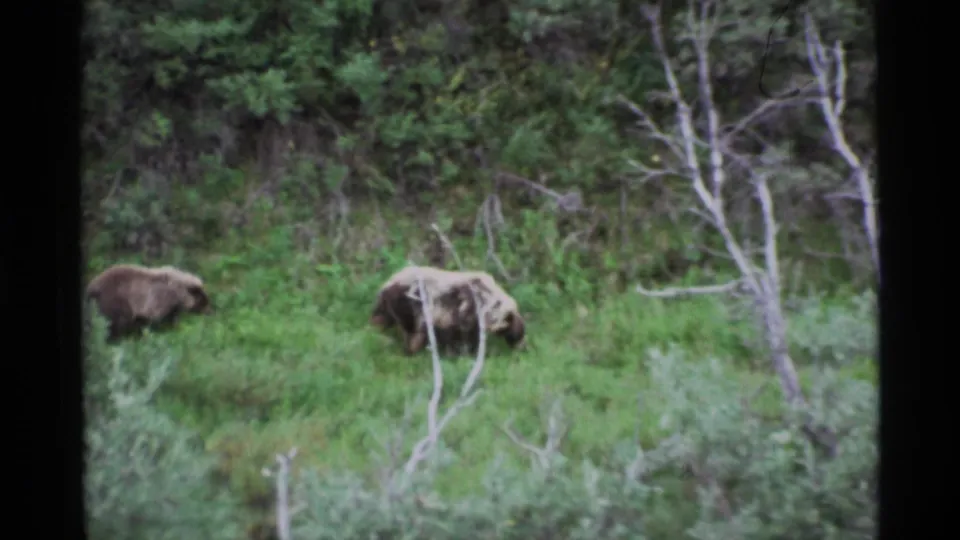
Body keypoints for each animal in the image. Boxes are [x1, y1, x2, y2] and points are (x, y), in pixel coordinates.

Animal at [369, 265, 526, 355]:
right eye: (517, 332)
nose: (522, 346)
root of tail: (387, 285)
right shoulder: (461, 312)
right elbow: (462, 336)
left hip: (390, 306)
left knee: (382, 318)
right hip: (407, 304)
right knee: (411, 329)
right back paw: (410, 349)